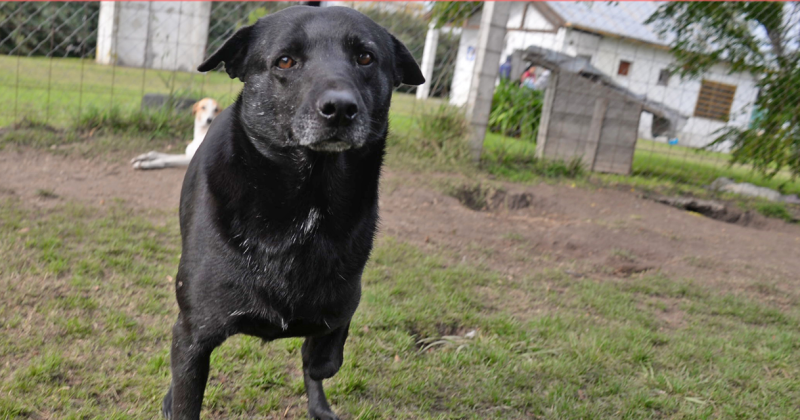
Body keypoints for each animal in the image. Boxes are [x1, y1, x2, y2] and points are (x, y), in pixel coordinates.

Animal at [162, 5, 424, 420]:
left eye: (365, 57)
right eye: (285, 60)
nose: (340, 109)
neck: (307, 196)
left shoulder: (346, 300)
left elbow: (324, 355)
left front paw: (317, 359)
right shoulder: (191, 334)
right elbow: (185, 395)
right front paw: (174, 400)